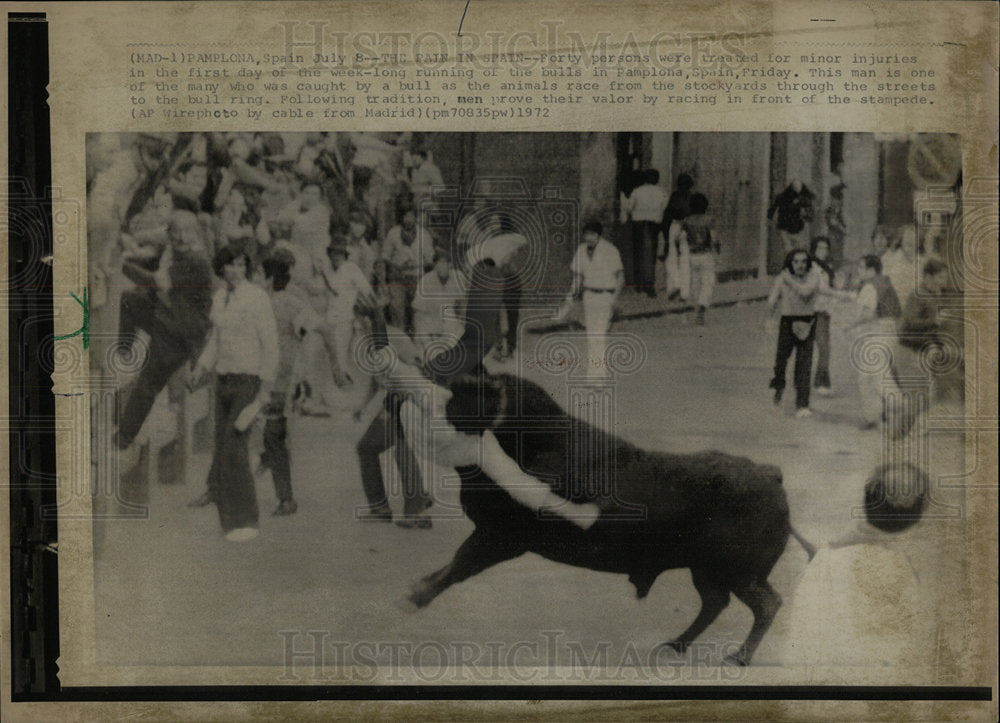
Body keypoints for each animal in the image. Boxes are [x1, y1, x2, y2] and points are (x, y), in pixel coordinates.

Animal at [400, 376, 812, 664]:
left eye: (463, 398)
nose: (411, 399)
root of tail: (771, 475)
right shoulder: (493, 537)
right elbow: (452, 566)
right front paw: (415, 591)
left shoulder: (499, 539)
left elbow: (458, 566)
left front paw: (412, 597)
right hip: (706, 570)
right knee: (715, 603)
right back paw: (675, 646)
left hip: (738, 572)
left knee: (766, 604)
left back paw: (737, 657)